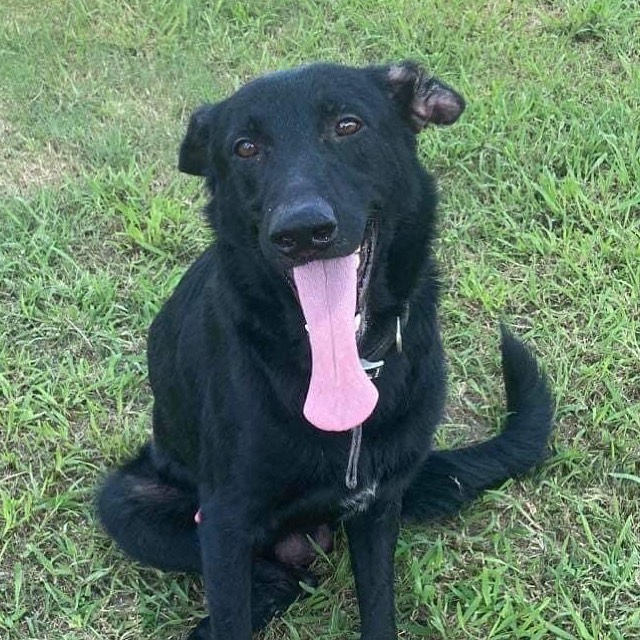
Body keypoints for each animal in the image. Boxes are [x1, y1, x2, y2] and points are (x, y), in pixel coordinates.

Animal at [97, 61, 552, 640]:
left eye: (348, 126)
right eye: (246, 148)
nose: (301, 231)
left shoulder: (378, 503)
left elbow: (378, 607)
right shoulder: (223, 523)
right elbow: (232, 610)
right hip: (128, 504)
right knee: (279, 579)